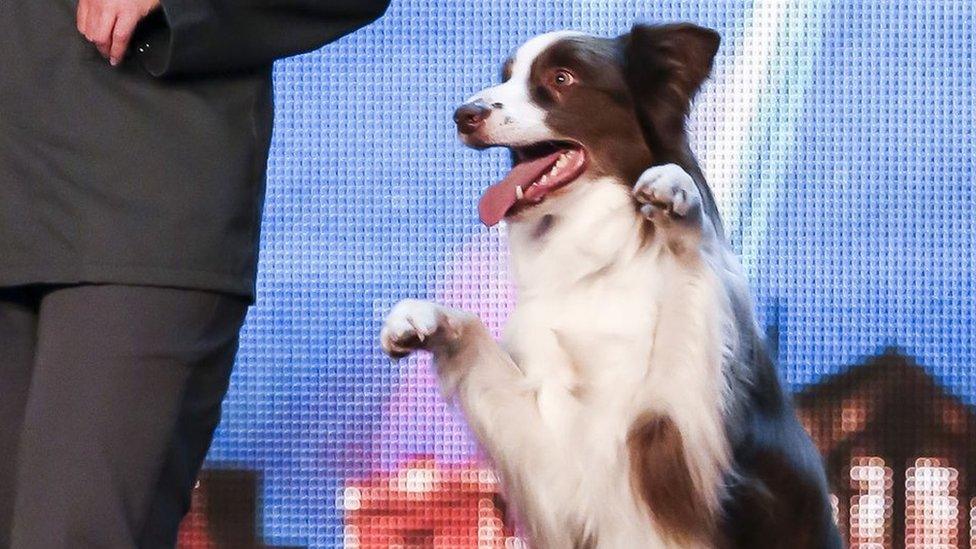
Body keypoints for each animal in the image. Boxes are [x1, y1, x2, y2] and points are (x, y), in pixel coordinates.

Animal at [378, 24, 844, 548]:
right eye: (507, 76)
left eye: (562, 78)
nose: (463, 115)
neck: (595, 271)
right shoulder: (561, 464)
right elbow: (475, 335)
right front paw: (423, 318)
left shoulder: (671, 436)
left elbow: (688, 276)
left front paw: (677, 199)